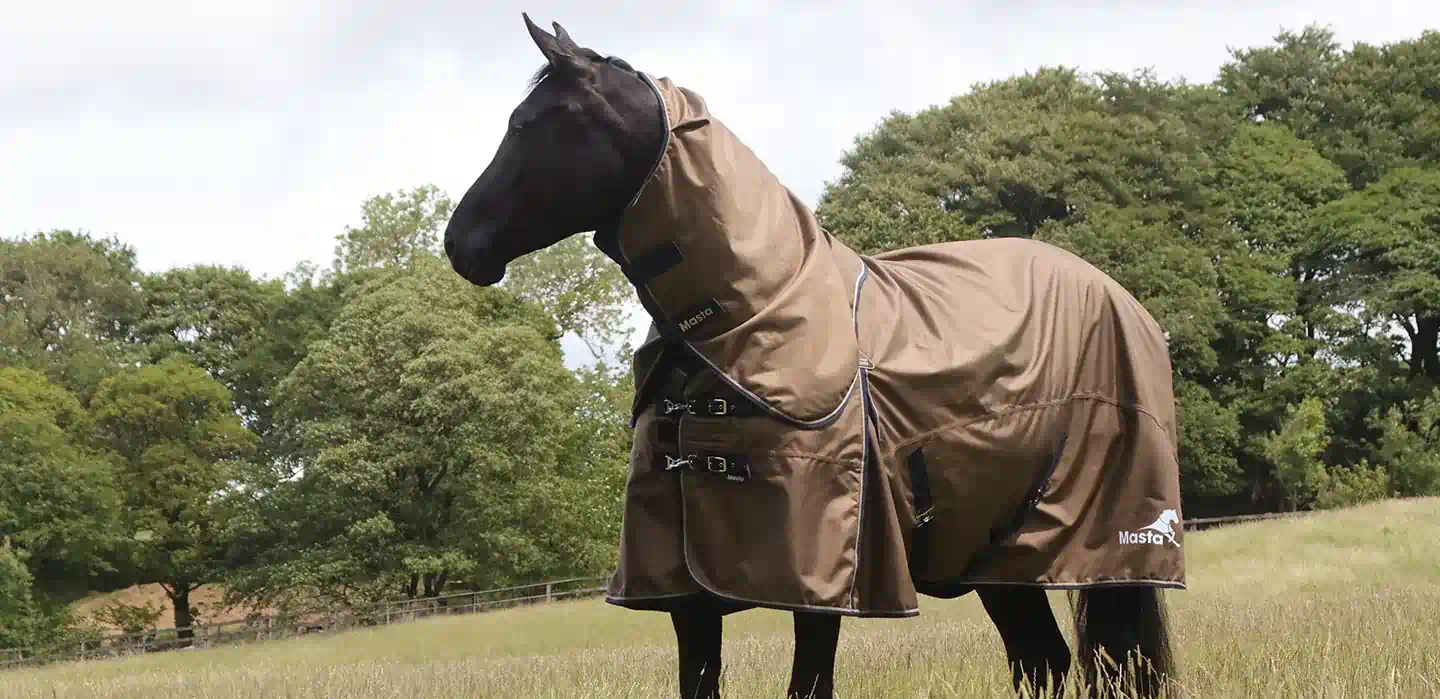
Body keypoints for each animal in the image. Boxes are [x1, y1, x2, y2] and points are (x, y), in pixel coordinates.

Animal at [441, 15, 1184, 699]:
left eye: (531, 122)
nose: (459, 243)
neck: (752, 316)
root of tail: (1122, 298)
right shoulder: (687, 596)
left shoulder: (821, 584)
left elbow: (810, 684)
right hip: (996, 555)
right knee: (1043, 660)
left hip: (1096, 542)